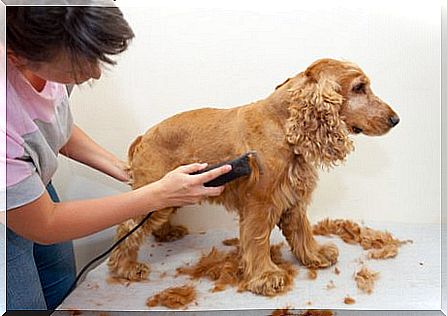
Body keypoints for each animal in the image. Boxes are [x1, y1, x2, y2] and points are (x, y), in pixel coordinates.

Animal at [107, 58, 400, 296]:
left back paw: (167, 234)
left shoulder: (293, 198)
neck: (283, 125)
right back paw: (126, 267)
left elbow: (302, 230)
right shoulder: (260, 203)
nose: (395, 119)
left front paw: (315, 255)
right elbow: (258, 240)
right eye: (359, 88)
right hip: (156, 194)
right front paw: (266, 276)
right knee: (127, 228)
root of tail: (143, 137)